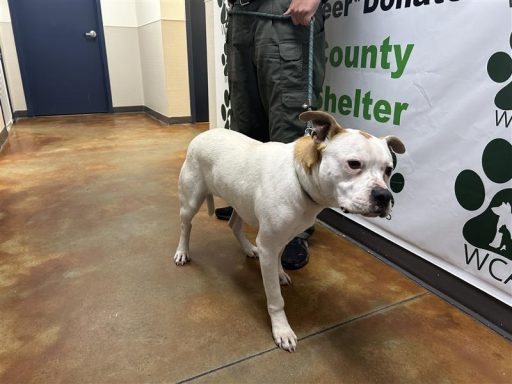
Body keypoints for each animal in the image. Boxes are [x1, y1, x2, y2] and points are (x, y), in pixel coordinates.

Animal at [174, 110, 406, 352]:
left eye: (389, 170)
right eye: (353, 164)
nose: (385, 196)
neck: (299, 179)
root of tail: (204, 134)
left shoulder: (282, 238)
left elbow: (278, 258)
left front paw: (278, 273)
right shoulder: (269, 244)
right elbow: (276, 299)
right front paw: (282, 330)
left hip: (240, 201)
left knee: (234, 225)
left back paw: (248, 249)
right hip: (191, 201)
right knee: (185, 226)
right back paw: (182, 252)